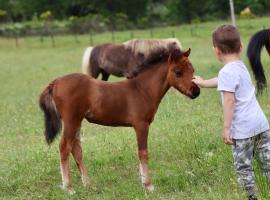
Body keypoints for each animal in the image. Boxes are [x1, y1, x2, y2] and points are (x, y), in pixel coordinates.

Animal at [39, 48, 199, 194]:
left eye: (192, 70)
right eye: (178, 72)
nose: (196, 92)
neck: (142, 90)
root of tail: (55, 83)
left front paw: (143, 182)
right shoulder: (141, 125)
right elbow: (143, 152)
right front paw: (148, 185)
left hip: (77, 121)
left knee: (76, 148)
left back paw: (88, 185)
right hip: (71, 120)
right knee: (64, 147)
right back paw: (69, 187)